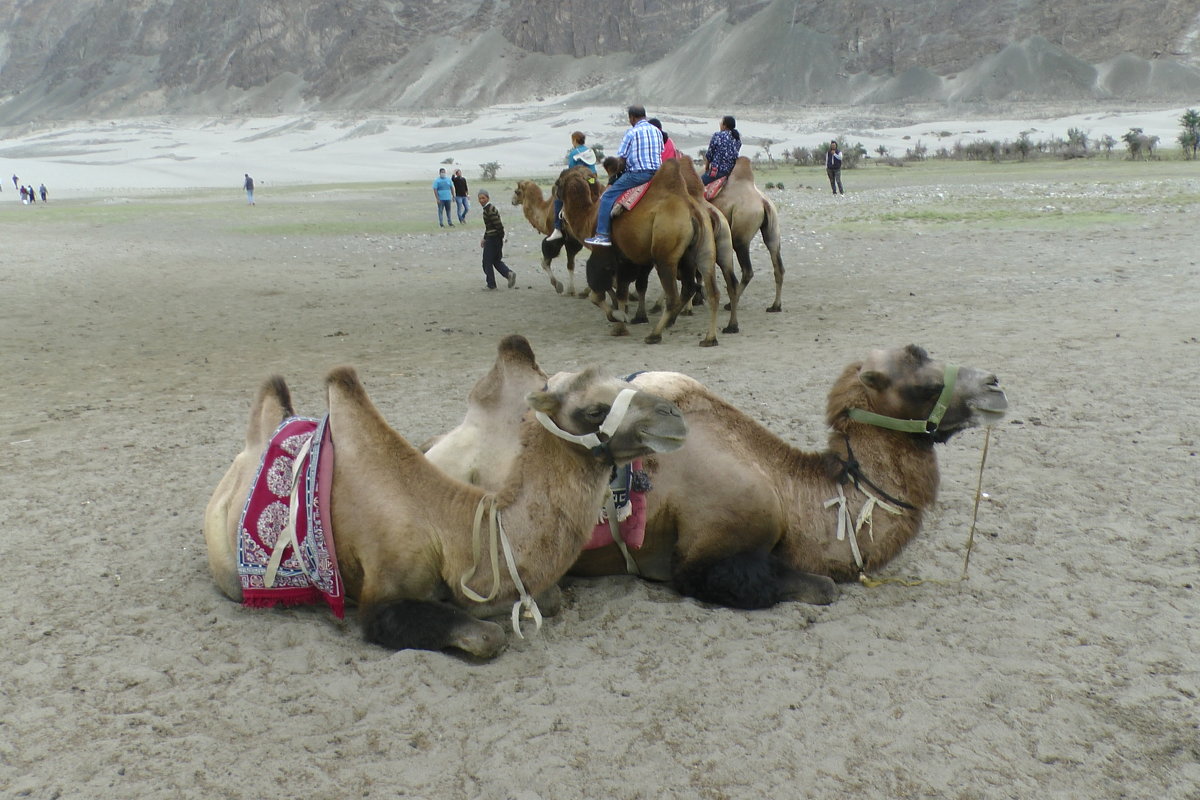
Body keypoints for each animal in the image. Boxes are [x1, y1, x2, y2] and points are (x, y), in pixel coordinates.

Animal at [202, 357, 691, 657]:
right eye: (594, 409)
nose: (674, 416)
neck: (452, 526)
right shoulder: (382, 596)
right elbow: (488, 636)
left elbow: (545, 599)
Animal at [559, 159, 734, 347]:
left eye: (559, 181)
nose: (560, 214)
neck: (589, 217)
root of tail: (695, 213)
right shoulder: (632, 259)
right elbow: (630, 289)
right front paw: (628, 317)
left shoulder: (609, 256)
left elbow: (602, 293)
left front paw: (618, 320)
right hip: (702, 252)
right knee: (708, 290)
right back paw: (710, 337)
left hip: (665, 256)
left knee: (674, 295)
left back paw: (655, 334)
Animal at [700, 157, 787, 316]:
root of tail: (763, 203)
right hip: (772, 232)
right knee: (778, 266)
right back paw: (775, 306)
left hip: (740, 238)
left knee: (747, 271)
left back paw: (730, 304)